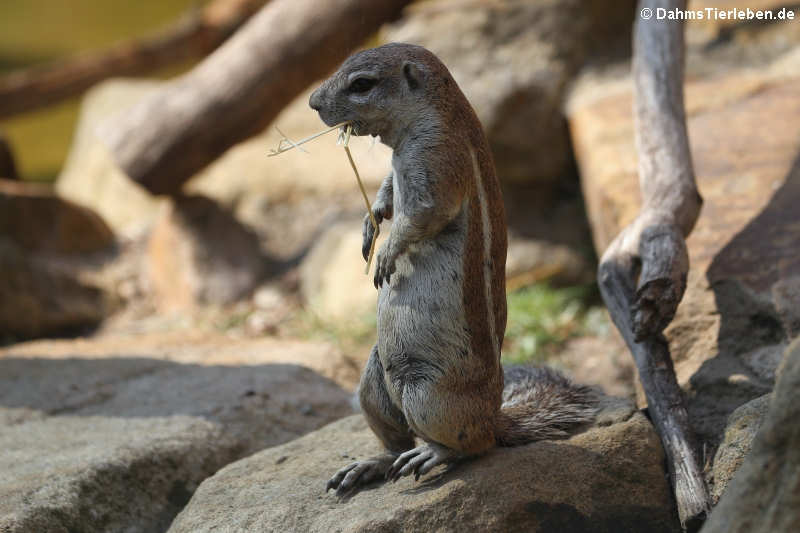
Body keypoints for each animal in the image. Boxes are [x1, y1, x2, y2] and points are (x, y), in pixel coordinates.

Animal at [310, 42, 596, 494]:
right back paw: (370, 465)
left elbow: (423, 214)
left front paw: (385, 254)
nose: (312, 102)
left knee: (472, 445)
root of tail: (495, 416)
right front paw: (369, 226)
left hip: (427, 395)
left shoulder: (437, 159)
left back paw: (432, 454)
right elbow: (386, 192)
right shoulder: (399, 169)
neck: (439, 112)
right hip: (373, 384)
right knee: (394, 438)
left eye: (362, 84)